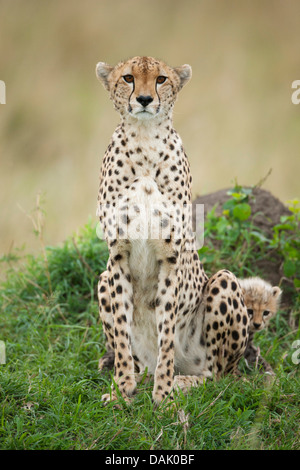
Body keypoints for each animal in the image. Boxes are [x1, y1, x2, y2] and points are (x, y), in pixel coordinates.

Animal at [95, 56, 250, 404]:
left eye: (161, 79)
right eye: (128, 78)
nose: (143, 99)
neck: (144, 140)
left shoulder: (170, 258)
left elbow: (166, 332)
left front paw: (163, 395)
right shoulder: (118, 258)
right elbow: (122, 335)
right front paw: (122, 391)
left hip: (223, 282)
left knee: (216, 376)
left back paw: (181, 382)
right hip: (103, 279)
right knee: (140, 359)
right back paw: (137, 378)